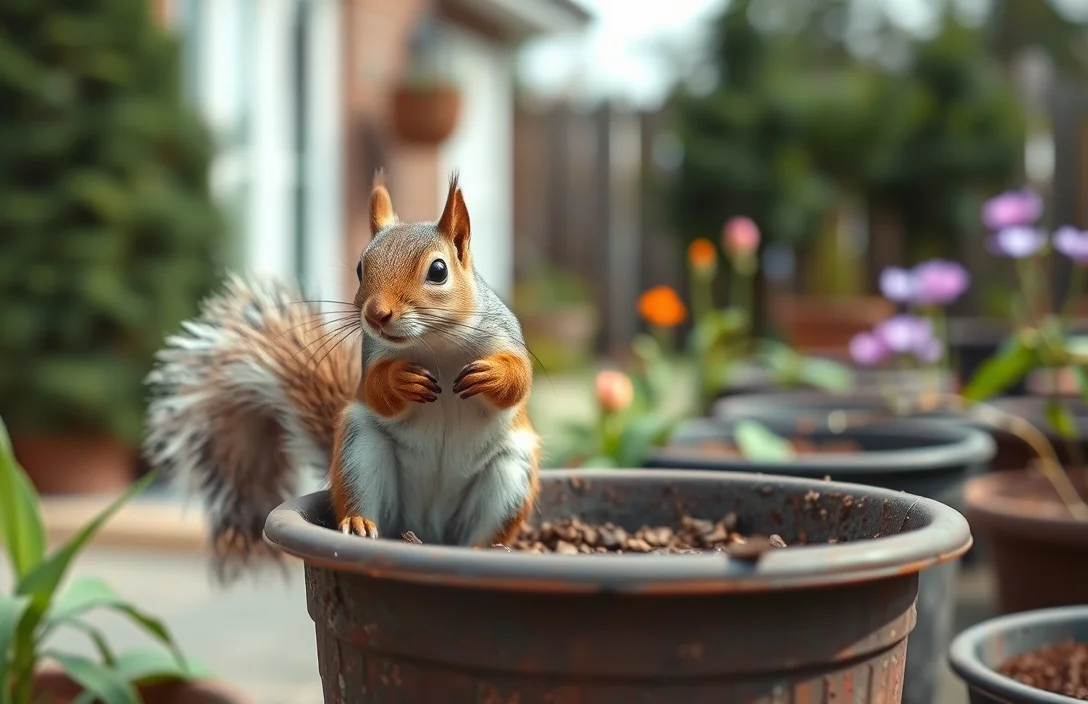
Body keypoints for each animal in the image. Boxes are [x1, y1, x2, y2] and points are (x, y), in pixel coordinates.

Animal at [143, 171, 541, 583]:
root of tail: (427, 531)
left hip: (510, 476)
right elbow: (377, 392)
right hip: (359, 450)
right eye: (361, 268)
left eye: (438, 271)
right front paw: (401, 381)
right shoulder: (373, 358)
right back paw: (361, 523)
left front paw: (493, 375)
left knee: (483, 531)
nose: (376, 314)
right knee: (361, 500)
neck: (437, 343)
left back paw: (483, 550)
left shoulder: (505, 337)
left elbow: (520, 381)